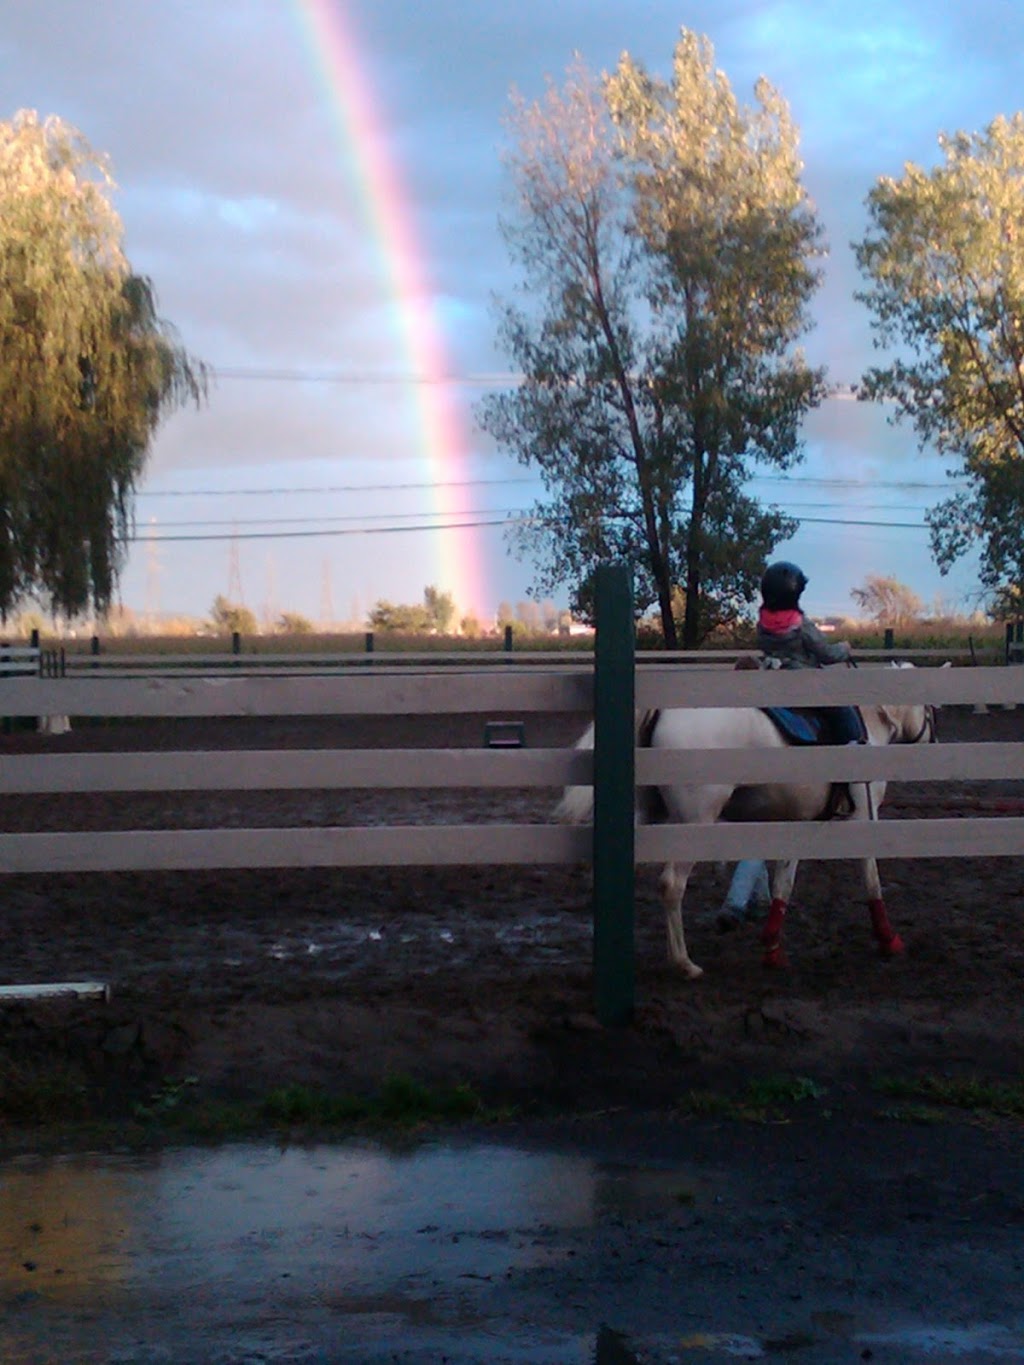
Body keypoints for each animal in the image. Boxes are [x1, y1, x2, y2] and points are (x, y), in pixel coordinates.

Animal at [557, 666, 944, 977]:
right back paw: (684, 964)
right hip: (693, 824)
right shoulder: (864, 819)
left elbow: (784, 884)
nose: (936, 740)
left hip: (649, 815)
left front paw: (773, 949)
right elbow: (871, 879)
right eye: (931, 711)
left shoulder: (797, 825)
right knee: (671, 885)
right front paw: (888, 939)